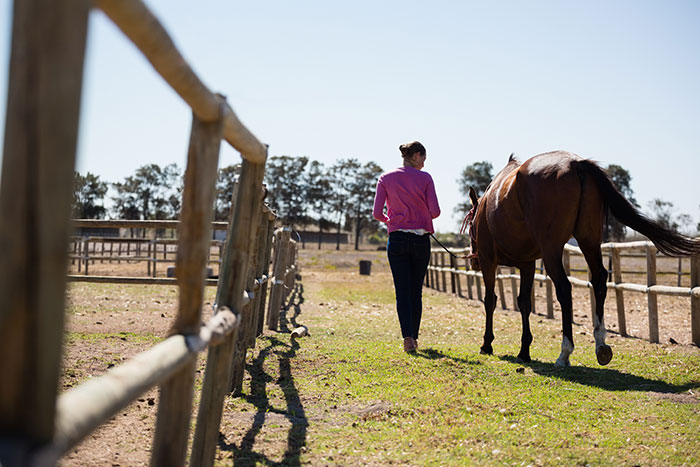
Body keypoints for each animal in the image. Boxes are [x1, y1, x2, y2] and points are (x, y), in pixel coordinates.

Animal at [463, 151, 700, 367]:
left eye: (470, 224)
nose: (473, 261)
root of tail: (577, 163)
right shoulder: (527, 264)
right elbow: (523, 303)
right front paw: (524, 350)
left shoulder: (490, 261)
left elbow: (491, 300)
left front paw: (487, 344)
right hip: (588, 240)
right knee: (599, 279)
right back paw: (601, 345)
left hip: (551, 251)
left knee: (564, 288)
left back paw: (565, 352)